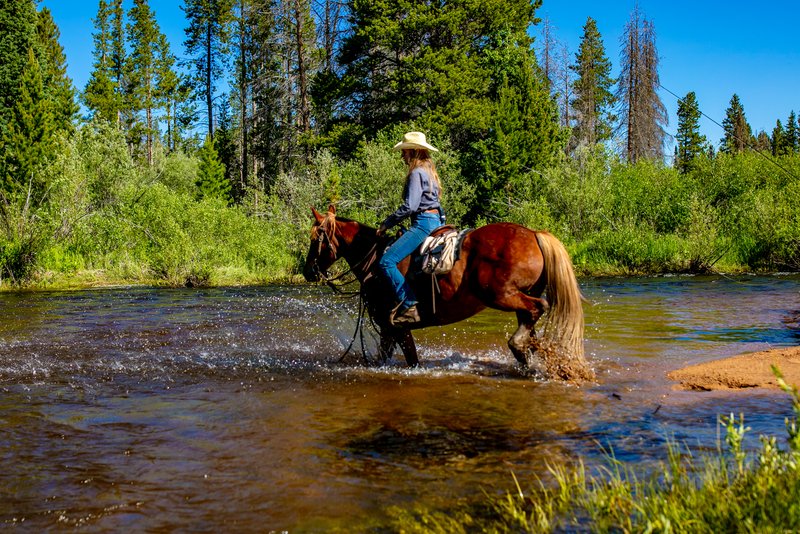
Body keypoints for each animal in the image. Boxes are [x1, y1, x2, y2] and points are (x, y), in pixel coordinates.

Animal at [304, 203, 592, 384]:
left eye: (315, 239)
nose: (308, 271)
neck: (374, 261)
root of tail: (533, 233)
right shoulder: (389, 329)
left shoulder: (393, 326)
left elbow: (409, 359)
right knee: (529, 320)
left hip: (500, 295)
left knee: (538, 306)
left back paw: (520, 344)